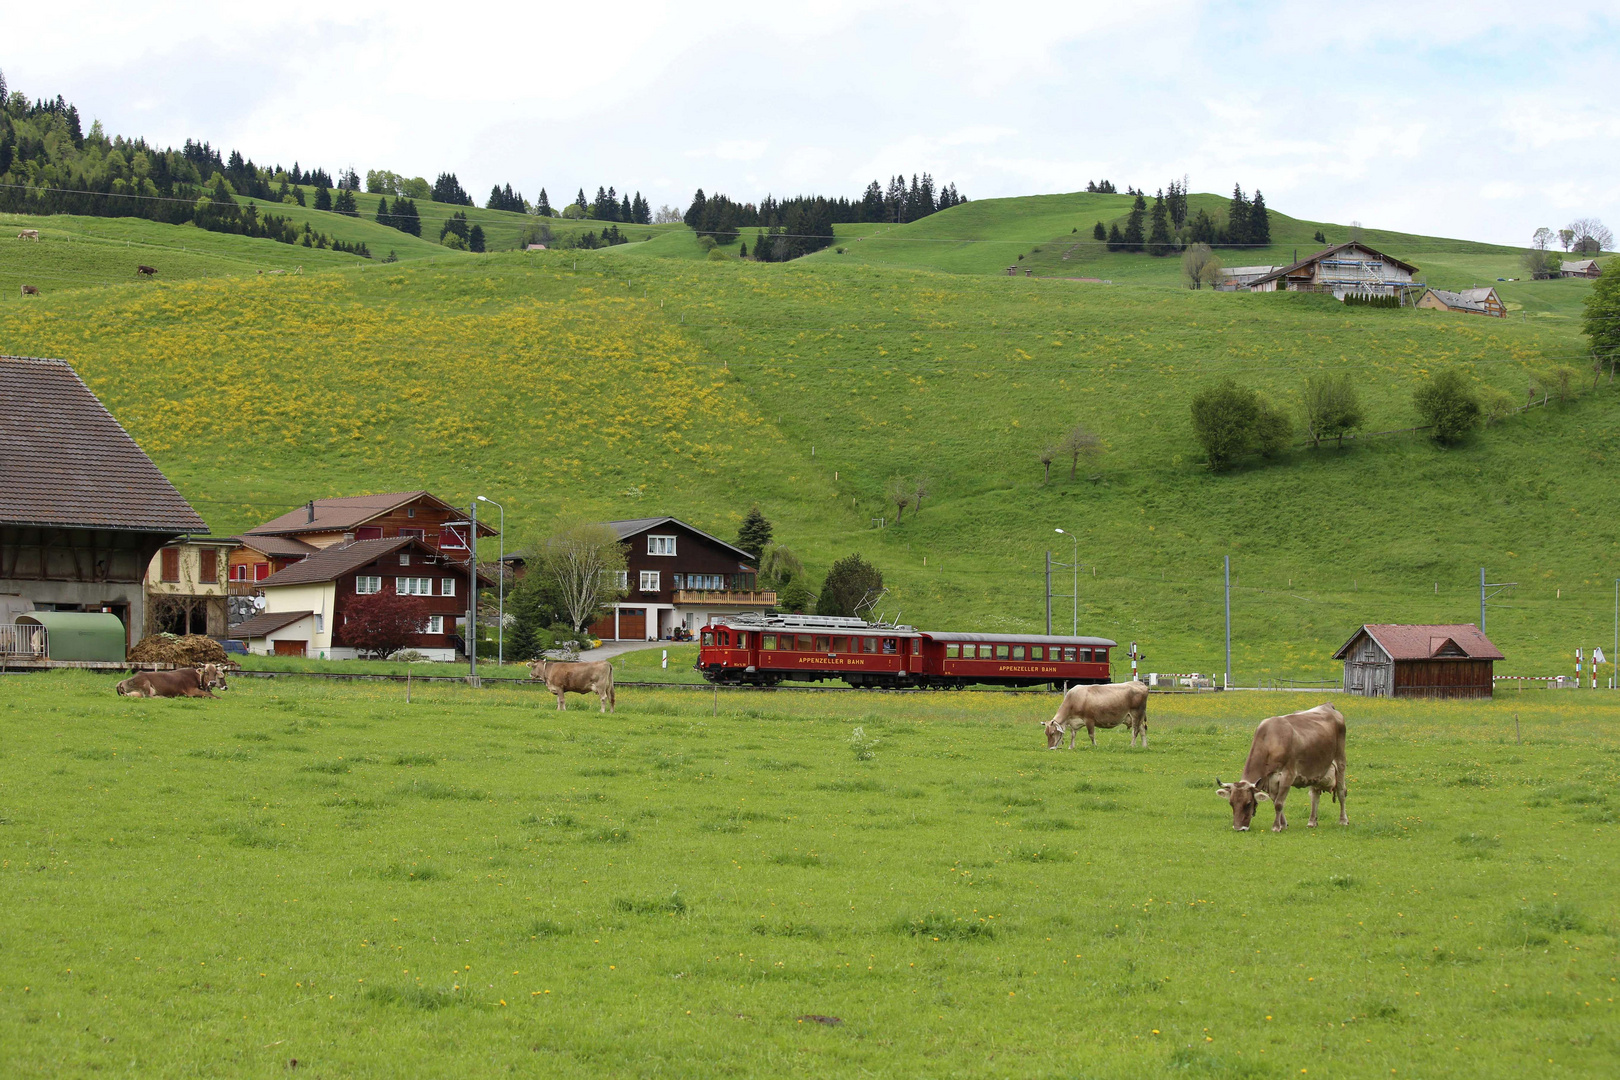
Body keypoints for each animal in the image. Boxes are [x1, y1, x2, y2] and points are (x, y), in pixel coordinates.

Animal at [1218, 702, 1347, 835]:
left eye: (1248, 804)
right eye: (1231, 803)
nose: (1239, 828)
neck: (1270, 740)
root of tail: (1327, 705)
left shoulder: (1288, 775)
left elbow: (1279, 803)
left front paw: (1276, 827)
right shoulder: (1270, 780)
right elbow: (1275, 801)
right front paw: (1283, 824)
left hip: (1340, 762)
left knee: (1341, 791)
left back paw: (1343, 820)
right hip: (1316, 771)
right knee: (1314, 796)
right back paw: (1312, 822)